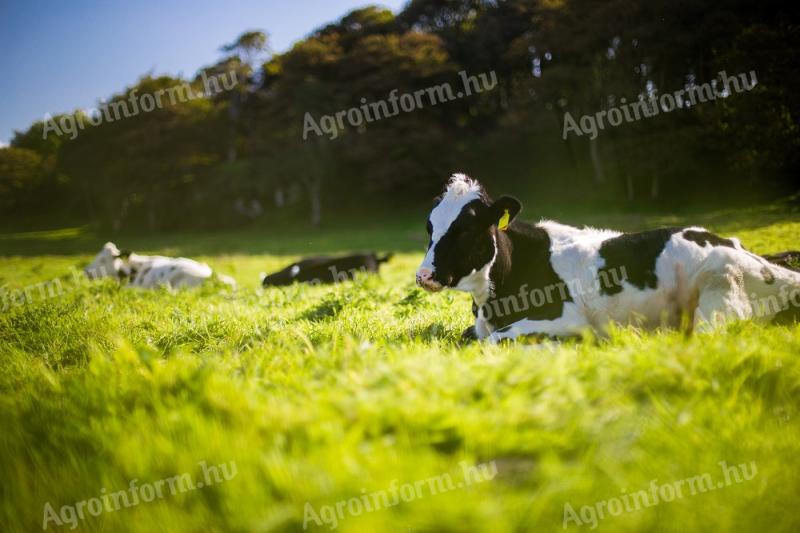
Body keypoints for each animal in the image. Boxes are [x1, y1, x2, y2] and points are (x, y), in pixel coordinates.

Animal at [416, 172, 800, 342]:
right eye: (430, 225)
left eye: (465, 228)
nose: (423, 275)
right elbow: (470, 335)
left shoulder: (566, 318)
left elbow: (495, 339)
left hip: (719, 296)